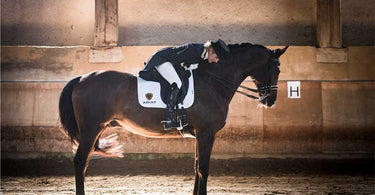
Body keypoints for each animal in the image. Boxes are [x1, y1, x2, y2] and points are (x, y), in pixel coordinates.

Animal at [58, 43, 290, 195]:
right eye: (277, 68)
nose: (270, 101)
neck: (214, 82)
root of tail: (82, 78)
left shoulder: (200, 134)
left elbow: (197, 167)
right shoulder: (207, 133)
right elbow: (203, 169)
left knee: (84, 162)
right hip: (91, 129)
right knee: (80, 161)